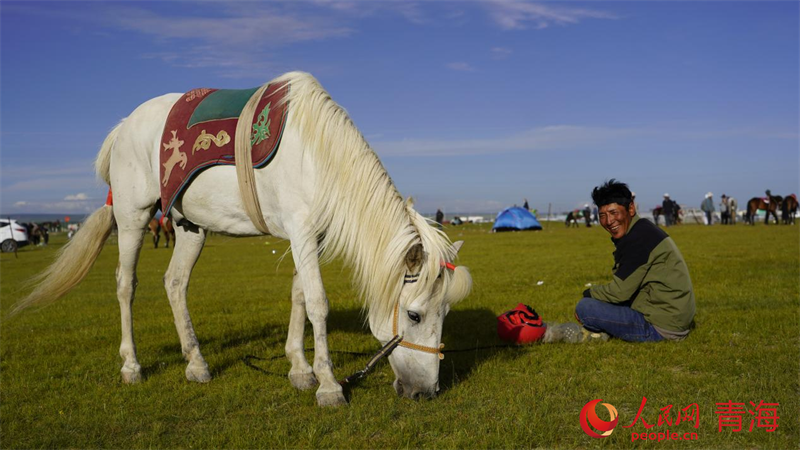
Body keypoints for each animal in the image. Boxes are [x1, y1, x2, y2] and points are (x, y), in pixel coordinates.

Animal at [12, 71, 472, 408]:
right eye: (413, 315)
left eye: (446, 313)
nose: (427, 391)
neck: (317, 155)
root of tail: (124, 127)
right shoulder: (302, 231)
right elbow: (317, 303)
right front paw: (328, 385)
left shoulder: (311, 237)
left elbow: (299, 296)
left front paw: (299, 369)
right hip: (132, 218)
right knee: (127, 285)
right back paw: (132, 366)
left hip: (189, 227)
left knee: (175, 283)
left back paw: (196, 363)